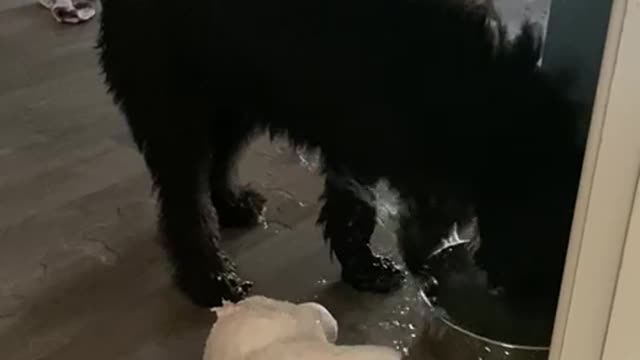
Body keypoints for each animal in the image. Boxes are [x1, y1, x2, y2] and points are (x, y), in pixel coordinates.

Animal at [97, 0, 584, 308]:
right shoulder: (362, 139)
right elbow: (358, 210)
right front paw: (370, 265)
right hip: (178, 104)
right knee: (185, 198)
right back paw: (209, 276)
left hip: (236, 97)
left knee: (218, 163)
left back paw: (232, 206)